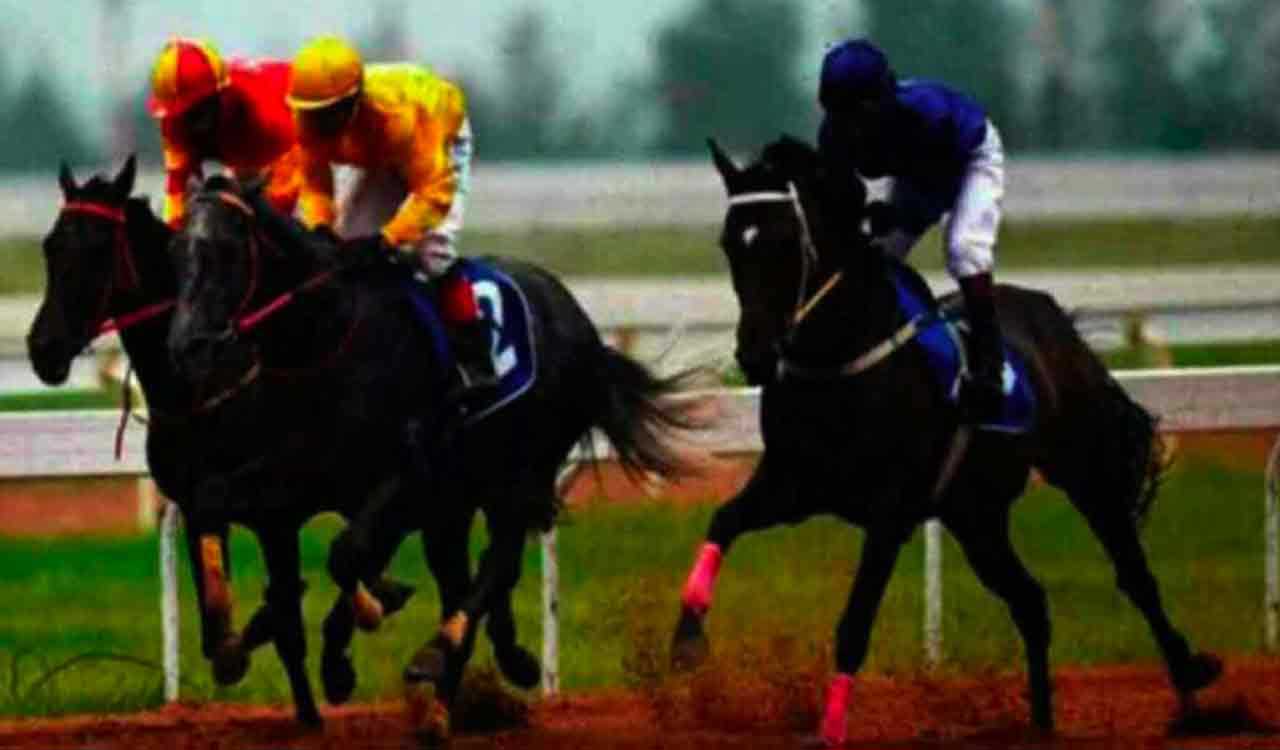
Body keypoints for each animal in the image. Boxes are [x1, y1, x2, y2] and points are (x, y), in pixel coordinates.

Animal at [25, 159, 522, 727]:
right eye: (51, 246)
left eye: (98, 249)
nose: (43, 348)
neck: (201, 385)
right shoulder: (200, 502)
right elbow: (247, 604)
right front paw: (269, 674)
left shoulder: (276, 508)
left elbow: (287, 606)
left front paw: (306, 668)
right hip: (438, 501)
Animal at [166, 175, 706, 726]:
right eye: (176, 251)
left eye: (227, 251)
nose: (186, 347)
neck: (328, 335)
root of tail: (578, 320)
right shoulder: (296, 472)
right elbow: (214, 500)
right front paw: (231, 641)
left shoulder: (406, 475)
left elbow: (348, 554)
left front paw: (353, 636)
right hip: (457, 500)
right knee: (467, 574)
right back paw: (466, 682)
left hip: (520, 475)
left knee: (497, 562)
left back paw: (447, 655)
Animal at [669, 138, 1222, 745]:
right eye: (729, 243)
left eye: (785, 242)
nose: (755, 356)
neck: (841, 361)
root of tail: (1059, 321)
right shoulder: (793, 486)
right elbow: (723, 519)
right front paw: (686, 641)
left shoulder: (889, 513)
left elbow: (855, 622)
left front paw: (831, 728)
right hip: (976, 516)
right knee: (1030, 601)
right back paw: (1040, 721)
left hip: (1085, 472)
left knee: (1135, 578)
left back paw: (1192, 693)